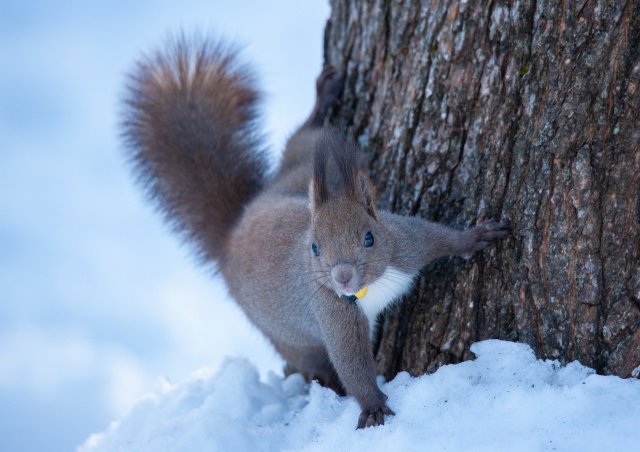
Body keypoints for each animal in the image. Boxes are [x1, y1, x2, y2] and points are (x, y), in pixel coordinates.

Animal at [121, 33, 510, 430]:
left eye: (369, 237)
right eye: (314, 248)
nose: (342, 277)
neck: (370, 286)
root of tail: (233, 236)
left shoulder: (404, 242)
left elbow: (437, 237)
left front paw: (476, 237)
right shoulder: (330, 311)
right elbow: (351, 364)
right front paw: (372, 405)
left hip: (299, 166)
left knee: (304, 137)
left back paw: (324, 99)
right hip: (290, 339)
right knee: (317, 363)